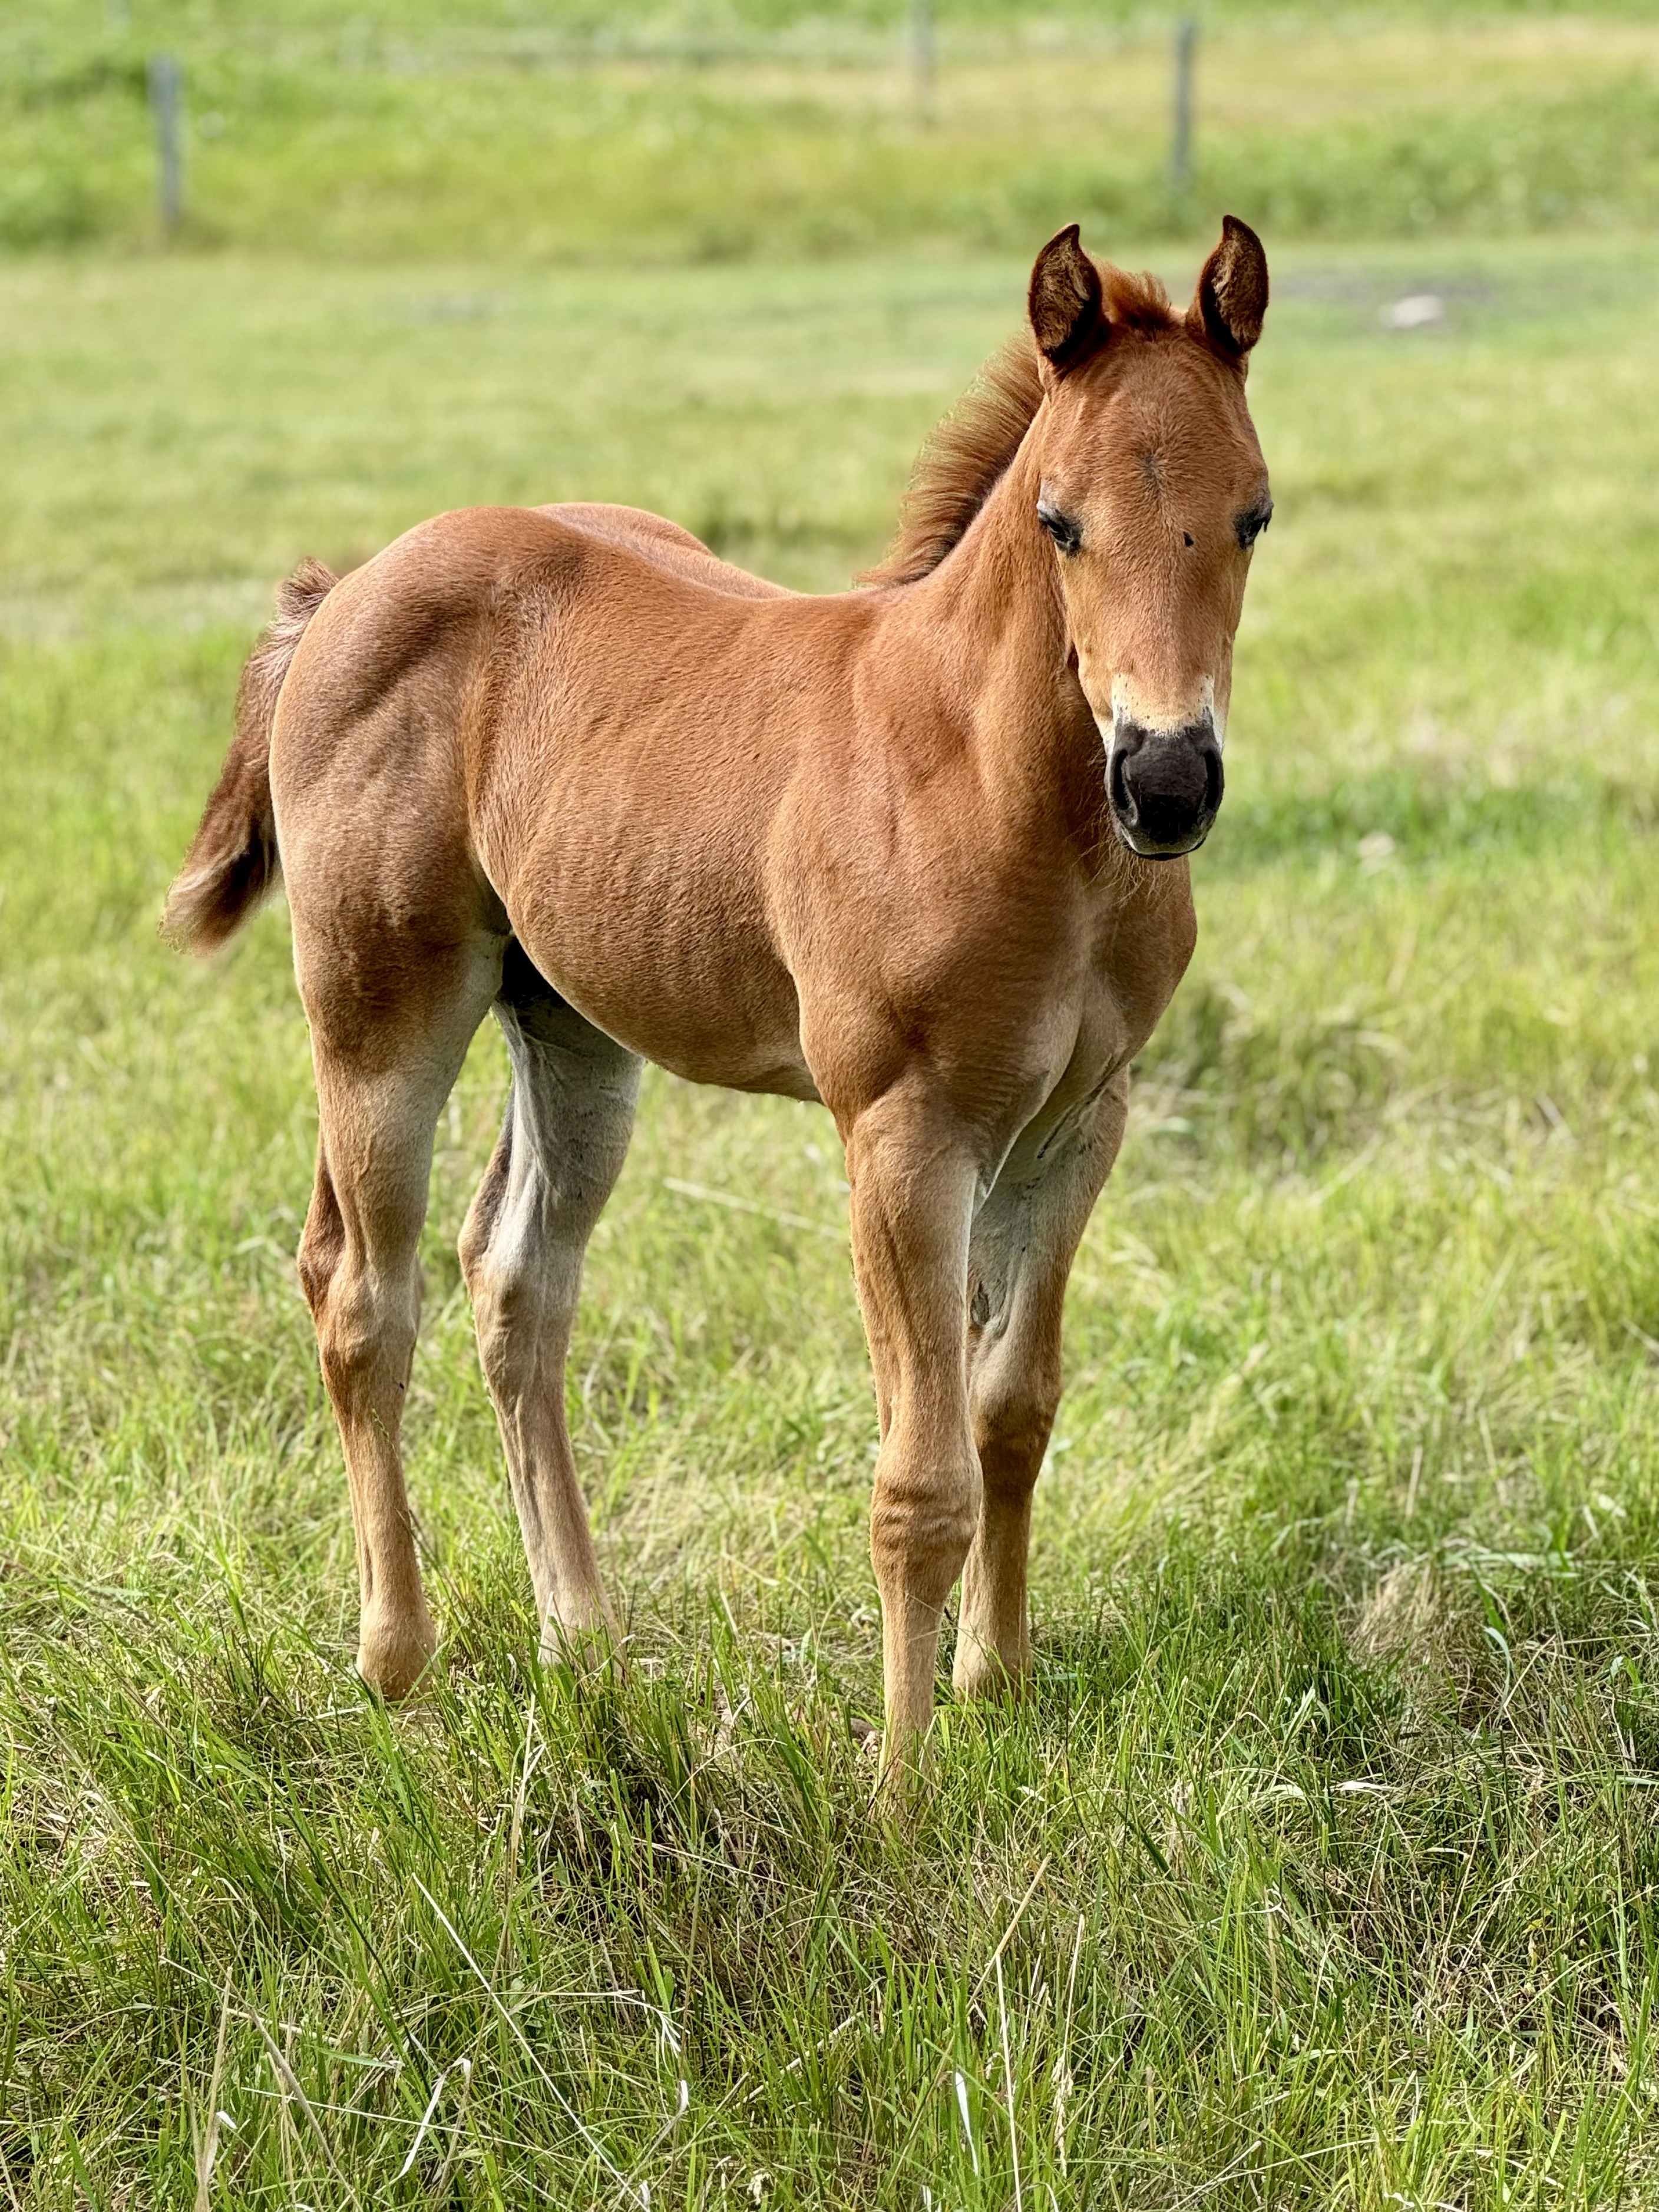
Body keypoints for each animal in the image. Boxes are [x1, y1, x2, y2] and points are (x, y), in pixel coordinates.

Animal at [165, 219, 1272, 1778]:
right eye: (1058, 522)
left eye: (1252, 517)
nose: (1165, 783)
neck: (1000, 787)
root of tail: (348, 589)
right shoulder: (901, 1130)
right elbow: (918, 1477)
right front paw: (903, 1786)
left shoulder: (1076, 1124)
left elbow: (1014, 1406)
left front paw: (996, 1688)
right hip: (379, 1008)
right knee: (361, 1293)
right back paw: (398, 1662)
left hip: (571, 1025)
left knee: (515, 1276)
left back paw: (583, 1641)